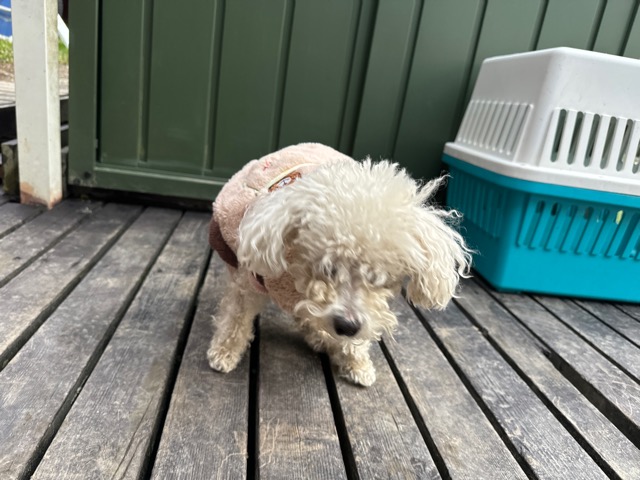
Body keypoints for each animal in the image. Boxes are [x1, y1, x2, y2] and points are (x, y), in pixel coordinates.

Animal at [207, 143, 471, 386]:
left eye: (380, 277)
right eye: (327, 268)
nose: (347, 326)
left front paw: (357, 363)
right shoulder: (249, 281)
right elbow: (236, 317)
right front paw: (224, 352)